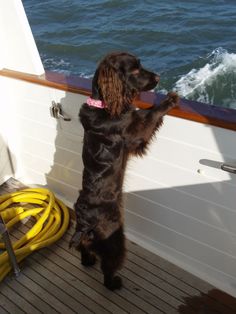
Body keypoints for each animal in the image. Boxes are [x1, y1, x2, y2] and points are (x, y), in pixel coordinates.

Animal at [70, 51, 179, 290]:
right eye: (135, 70)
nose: (158, 77)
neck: (105, 104)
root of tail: (85, 224)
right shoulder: (135, 130)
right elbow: (151, 114)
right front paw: (170, 99)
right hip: (115, 239)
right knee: (108, 267)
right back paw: (114, 283)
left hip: (88, 240)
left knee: (84, 249)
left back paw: (88, 260)